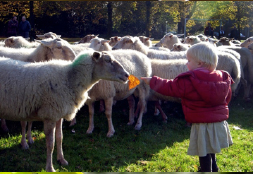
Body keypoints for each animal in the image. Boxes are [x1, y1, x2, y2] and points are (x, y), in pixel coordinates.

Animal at [0, 50, 129, 171]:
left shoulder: (59, 114)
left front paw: (62, 160)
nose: (127, 75)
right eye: (108, 60)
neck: (69, 78)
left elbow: (59, 138)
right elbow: (50, 144)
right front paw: (50, 168)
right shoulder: (50, 115)